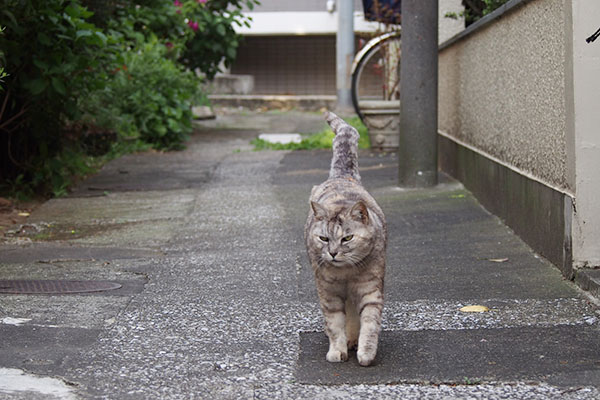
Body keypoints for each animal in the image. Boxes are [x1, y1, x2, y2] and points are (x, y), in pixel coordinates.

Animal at [304, 110, 390, 366]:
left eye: (347, 238)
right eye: (324, 239)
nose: (333, 253)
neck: (346, 273)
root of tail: (342, 175)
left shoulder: (370, 288)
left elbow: (370, 322)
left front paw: (366, 352)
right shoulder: (328, 293)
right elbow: (334, 324)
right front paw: (337, 350)